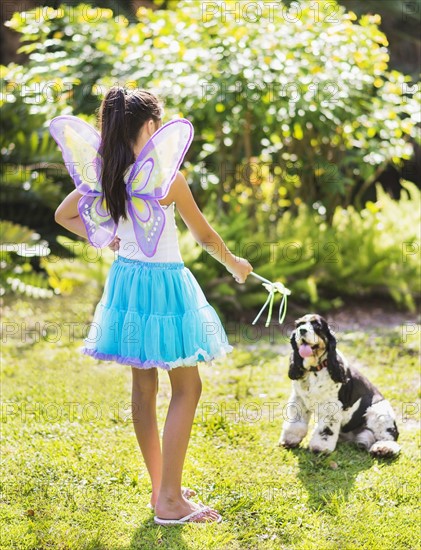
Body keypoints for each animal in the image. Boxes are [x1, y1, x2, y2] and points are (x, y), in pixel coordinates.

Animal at [278, 312, 400, 460]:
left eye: (317, 325)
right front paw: (289, 440)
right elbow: (296, 424)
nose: (302, 331)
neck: (315, 369)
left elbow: (325, 430)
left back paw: (383, 449)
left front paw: (320, 448)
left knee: (389, 436)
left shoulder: (331, 406)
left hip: (378, 411)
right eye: (298, 325)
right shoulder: (298, 400)